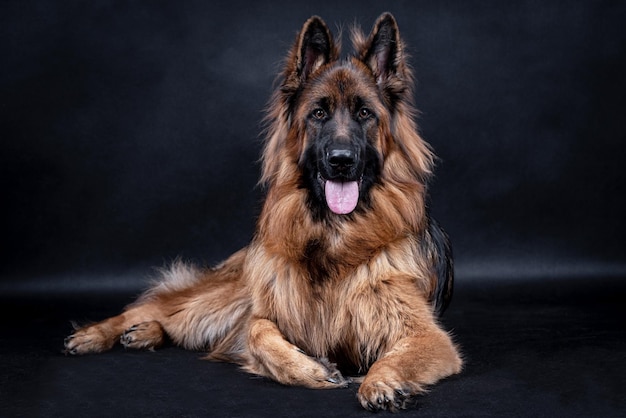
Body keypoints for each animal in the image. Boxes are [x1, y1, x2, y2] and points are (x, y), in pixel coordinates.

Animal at [64, 13, 464, 412]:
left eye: (365, 113)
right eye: (318, 113)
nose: (341, 161)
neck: (334, 239)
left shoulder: (428, 336)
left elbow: (391, 358)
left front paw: (380, 382)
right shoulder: (266, 314)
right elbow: (257, 331)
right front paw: (312, 369)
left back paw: (144, 334)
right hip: (217, 300)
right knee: (156, 308)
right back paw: (97, 334)